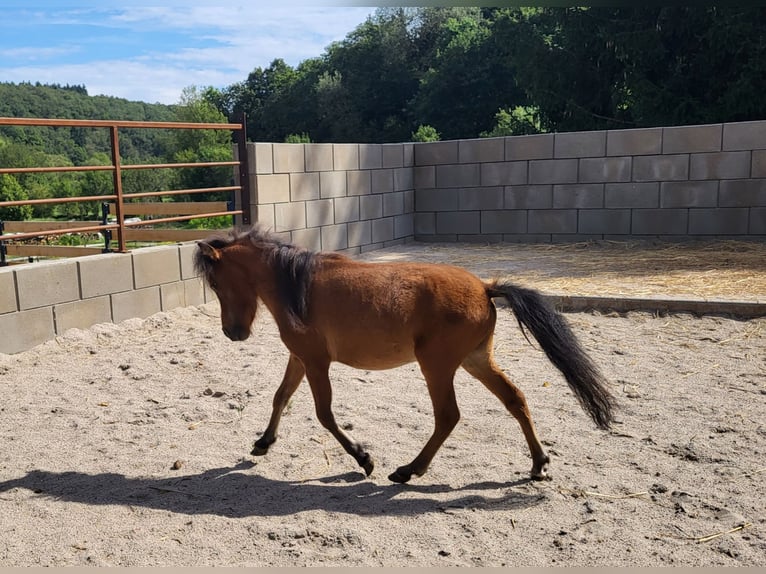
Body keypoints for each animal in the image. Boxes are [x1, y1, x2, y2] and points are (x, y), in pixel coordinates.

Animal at [194, 227, 616, 484]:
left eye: (215, 282)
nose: (233, 333)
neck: (297, 285)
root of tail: (485, 288)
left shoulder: (315, 362)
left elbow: (324, 414)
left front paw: (364, 458)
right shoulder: (299, 359)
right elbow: (280, 397)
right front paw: (263, 443)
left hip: (438, 367)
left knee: (448, 416)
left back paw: (410, 470)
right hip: (476, 361)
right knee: (515, 400)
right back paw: (538, 464)